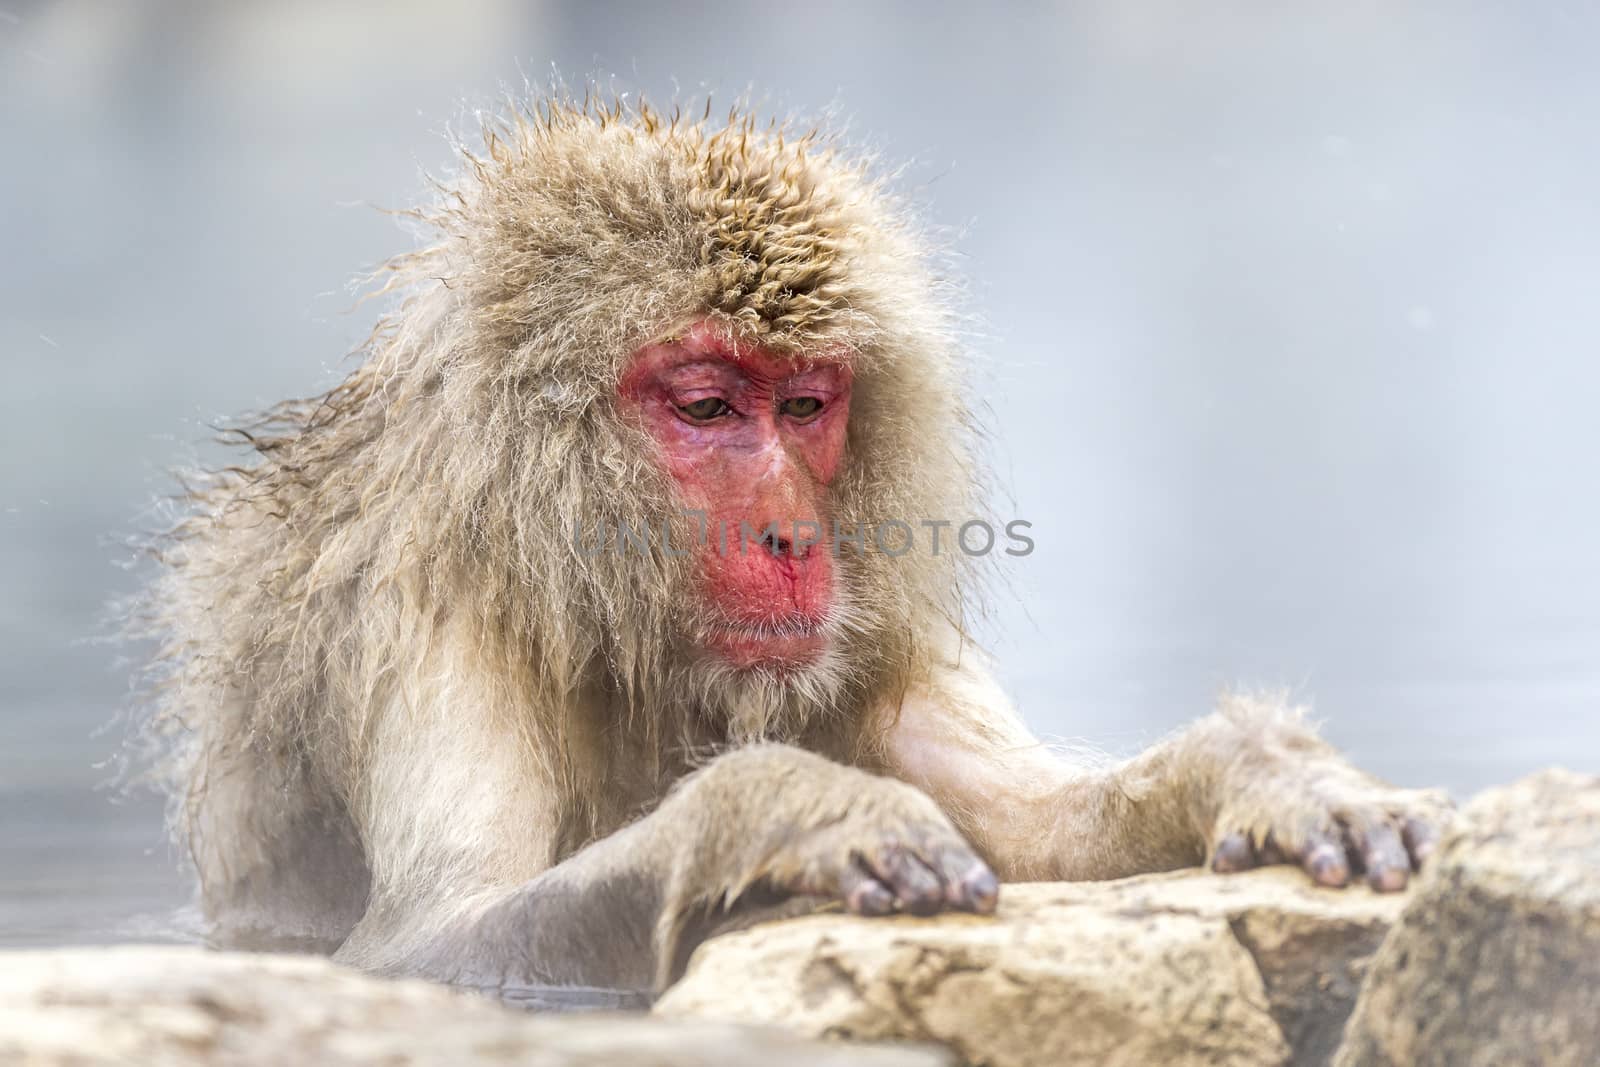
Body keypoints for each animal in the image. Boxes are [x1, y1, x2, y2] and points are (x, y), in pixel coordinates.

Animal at [140, 95, 1452, 998]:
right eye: (709, 406)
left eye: (809, 405)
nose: (791, 534)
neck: (602, 603)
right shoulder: (421, 622)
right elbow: (427, 944)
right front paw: (789, 808)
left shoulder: (868, 630)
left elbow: (1034, 826)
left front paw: (1265, 768)